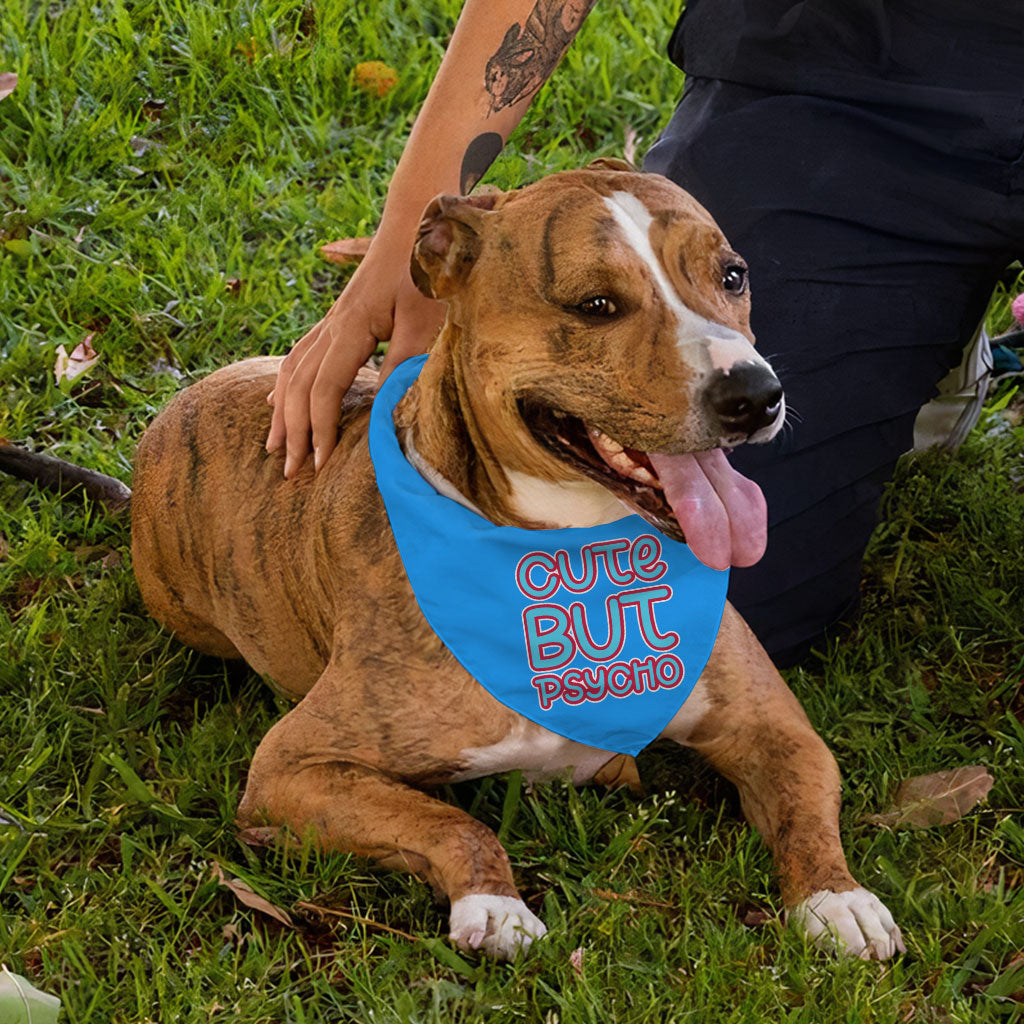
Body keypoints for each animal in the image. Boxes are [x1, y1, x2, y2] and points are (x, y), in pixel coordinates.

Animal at [123, 159, 901, 958]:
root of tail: (182, 401)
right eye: (596, 305)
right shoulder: (293, 766)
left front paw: (837, 897)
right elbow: (450, 820)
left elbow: (806, 807)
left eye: (733, 276)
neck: (579, 561)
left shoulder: (774, 728)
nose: (755, 393)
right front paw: (493, 903)